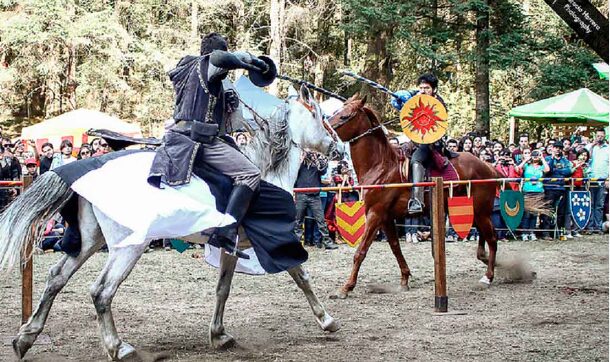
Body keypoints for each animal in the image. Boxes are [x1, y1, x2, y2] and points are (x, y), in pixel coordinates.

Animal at [0, 85, 342, 360]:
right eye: (323, 117)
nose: (338, 148)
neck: (266, 170)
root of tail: (85, 168)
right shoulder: (278, 238)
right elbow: (301, 276)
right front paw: (327, 321)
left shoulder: (231, 247)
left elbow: (223, 288)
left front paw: (219, 335)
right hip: (128, 246)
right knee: (101, 291)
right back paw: (118, 348)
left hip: (90, 239)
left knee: (57, 278)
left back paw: (25, 338)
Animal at [328, 94, 498, 298]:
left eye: (345, 116)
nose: (326, 127)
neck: (381, 165)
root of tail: (488, 167)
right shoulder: (385, 217)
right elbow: (395, 247)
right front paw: (404, 279)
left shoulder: (375, 214)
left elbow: (360, 252)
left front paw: (346, 287)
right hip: (476, 212)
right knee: (485, 237)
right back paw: (485, 259)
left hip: (481, 212)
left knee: (492, 239)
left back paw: (488, 276)